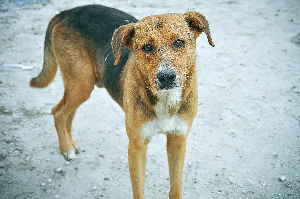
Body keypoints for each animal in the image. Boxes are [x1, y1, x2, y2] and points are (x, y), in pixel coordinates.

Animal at [29, 5, 213, 199]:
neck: (165, 99)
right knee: (58, 112)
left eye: (179, 42)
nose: (166, 77)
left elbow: (175, 188)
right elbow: (139, 191)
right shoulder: (136, 146)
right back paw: (66, 148)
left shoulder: (178, 141)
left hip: (80, 87)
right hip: (81, 85)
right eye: (147, 47)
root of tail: (67, 12)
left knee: (67, 114)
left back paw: (70, 144)